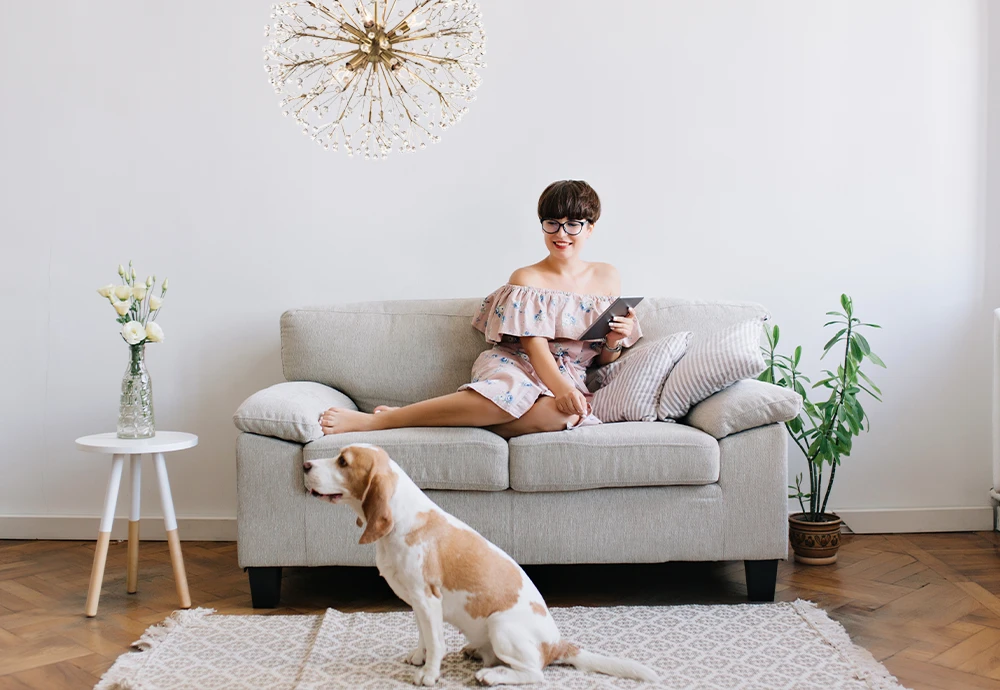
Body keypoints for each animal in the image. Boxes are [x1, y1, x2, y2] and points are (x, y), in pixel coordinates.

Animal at [298, 444, 656, 684]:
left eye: (343, 461)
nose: (305, 465)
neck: (402, 520)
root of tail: (557, 646)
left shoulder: (428, 600)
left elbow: (436, 642)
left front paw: (429, 674)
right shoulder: (418, 604)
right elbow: (424, 637)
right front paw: (419, 658)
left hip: (501, 626)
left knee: (534, 673)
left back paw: (492, 675)